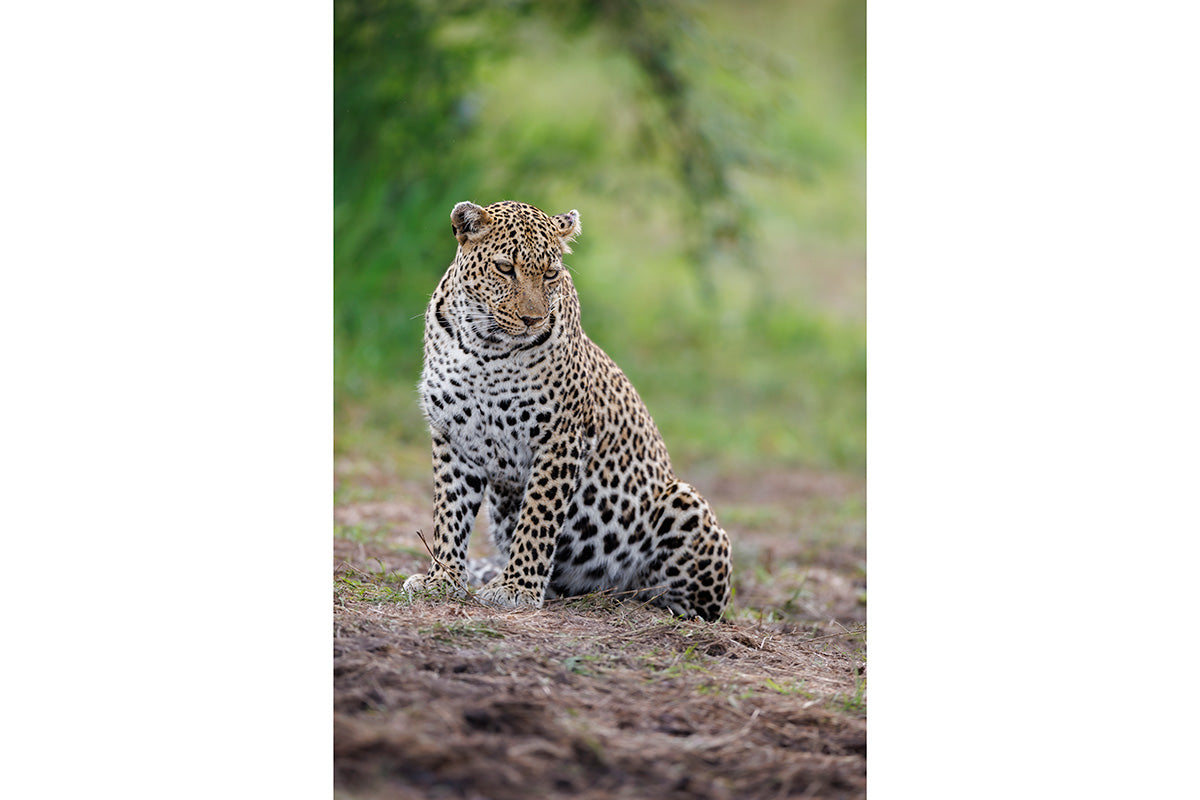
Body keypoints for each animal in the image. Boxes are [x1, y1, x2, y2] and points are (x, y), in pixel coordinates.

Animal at [402, 200, 732, 621]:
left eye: (551, 273)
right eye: (504, 268)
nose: (532, 319)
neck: (485, 348)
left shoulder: (560, 439)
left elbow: (538, 519)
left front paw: (516, 589)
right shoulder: (454, 437)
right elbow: (449, 514)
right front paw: (441, 580)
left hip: (683, 502)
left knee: (690, 602)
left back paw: (642, 603)